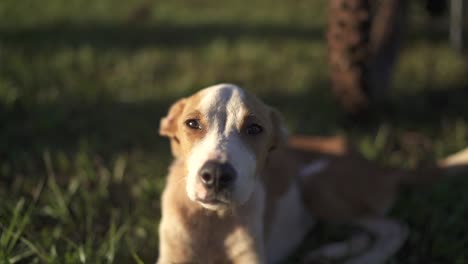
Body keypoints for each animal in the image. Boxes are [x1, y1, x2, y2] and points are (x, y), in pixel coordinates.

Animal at [158, 84, 468, 264]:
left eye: (254, 129)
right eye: (191, 123)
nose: (216, 175)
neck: (212, 222)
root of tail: (377, 166)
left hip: (315, 186)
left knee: (394, 228)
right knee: (366, 231)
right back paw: (328, 252)